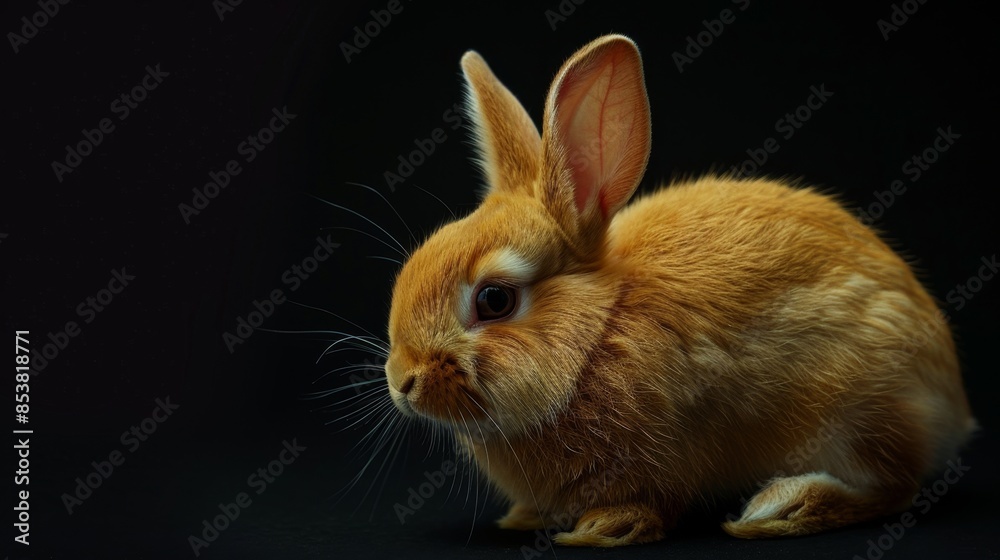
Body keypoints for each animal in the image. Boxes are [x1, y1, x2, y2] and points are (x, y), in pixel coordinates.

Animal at [382, 34, 976, 547]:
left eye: (494, 301)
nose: (402, 381)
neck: (598, 333)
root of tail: (951, 400)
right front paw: (528, 517)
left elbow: (653, 503)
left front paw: (606, 527)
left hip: (860, 413)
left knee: (895, 487)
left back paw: (784, 506)